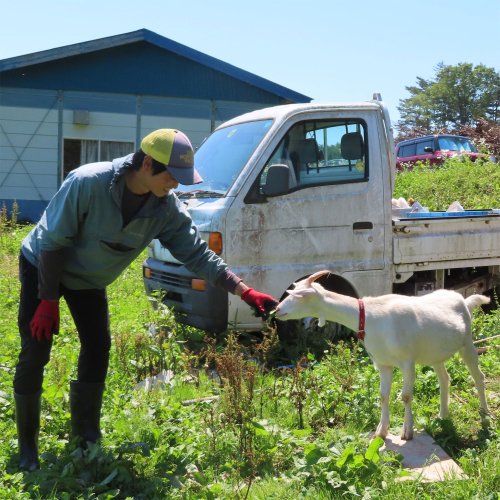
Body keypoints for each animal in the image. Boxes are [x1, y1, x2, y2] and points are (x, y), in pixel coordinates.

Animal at [274, 272, 488, 440]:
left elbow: (406, 396)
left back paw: (485, 414)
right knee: (445, 379)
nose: (277, 310)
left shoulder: (407, 361)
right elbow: (384, 395)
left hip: (467, 343)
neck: (368, 317)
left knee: (478, 376)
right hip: (435, 353)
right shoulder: (383, 363)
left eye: (299, 296)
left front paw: (407, 432)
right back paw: (443, 415)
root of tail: (464, 301)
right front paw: (381, 431)